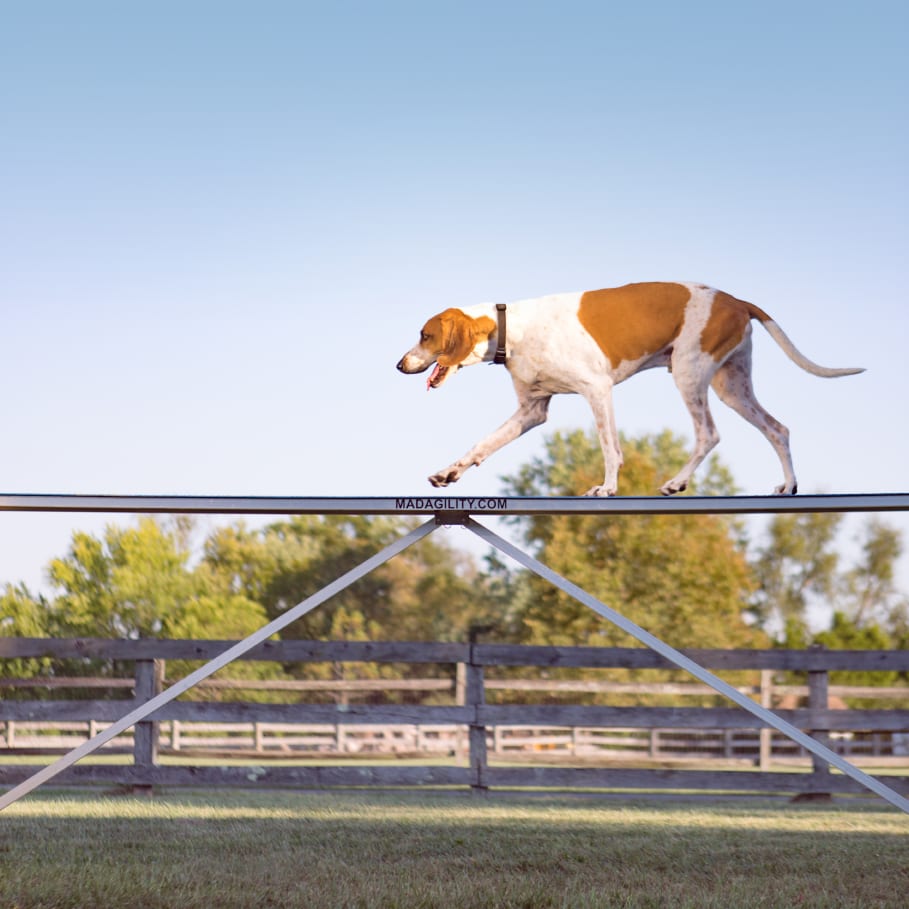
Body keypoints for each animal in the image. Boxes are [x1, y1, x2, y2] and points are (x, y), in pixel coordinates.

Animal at [394, 284, 860, 496]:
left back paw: (676, 483)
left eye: (425, 335)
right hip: (732, 387)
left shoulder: (597, 390)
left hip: (688, 375)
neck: (513, 327)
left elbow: (609, 448)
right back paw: (789, 485)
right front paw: (449, 472)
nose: (399, 365)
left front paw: (608, 488)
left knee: (709, 434)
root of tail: (735, 299)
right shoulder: (532, 411)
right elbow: (482, 445)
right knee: (778, 429)